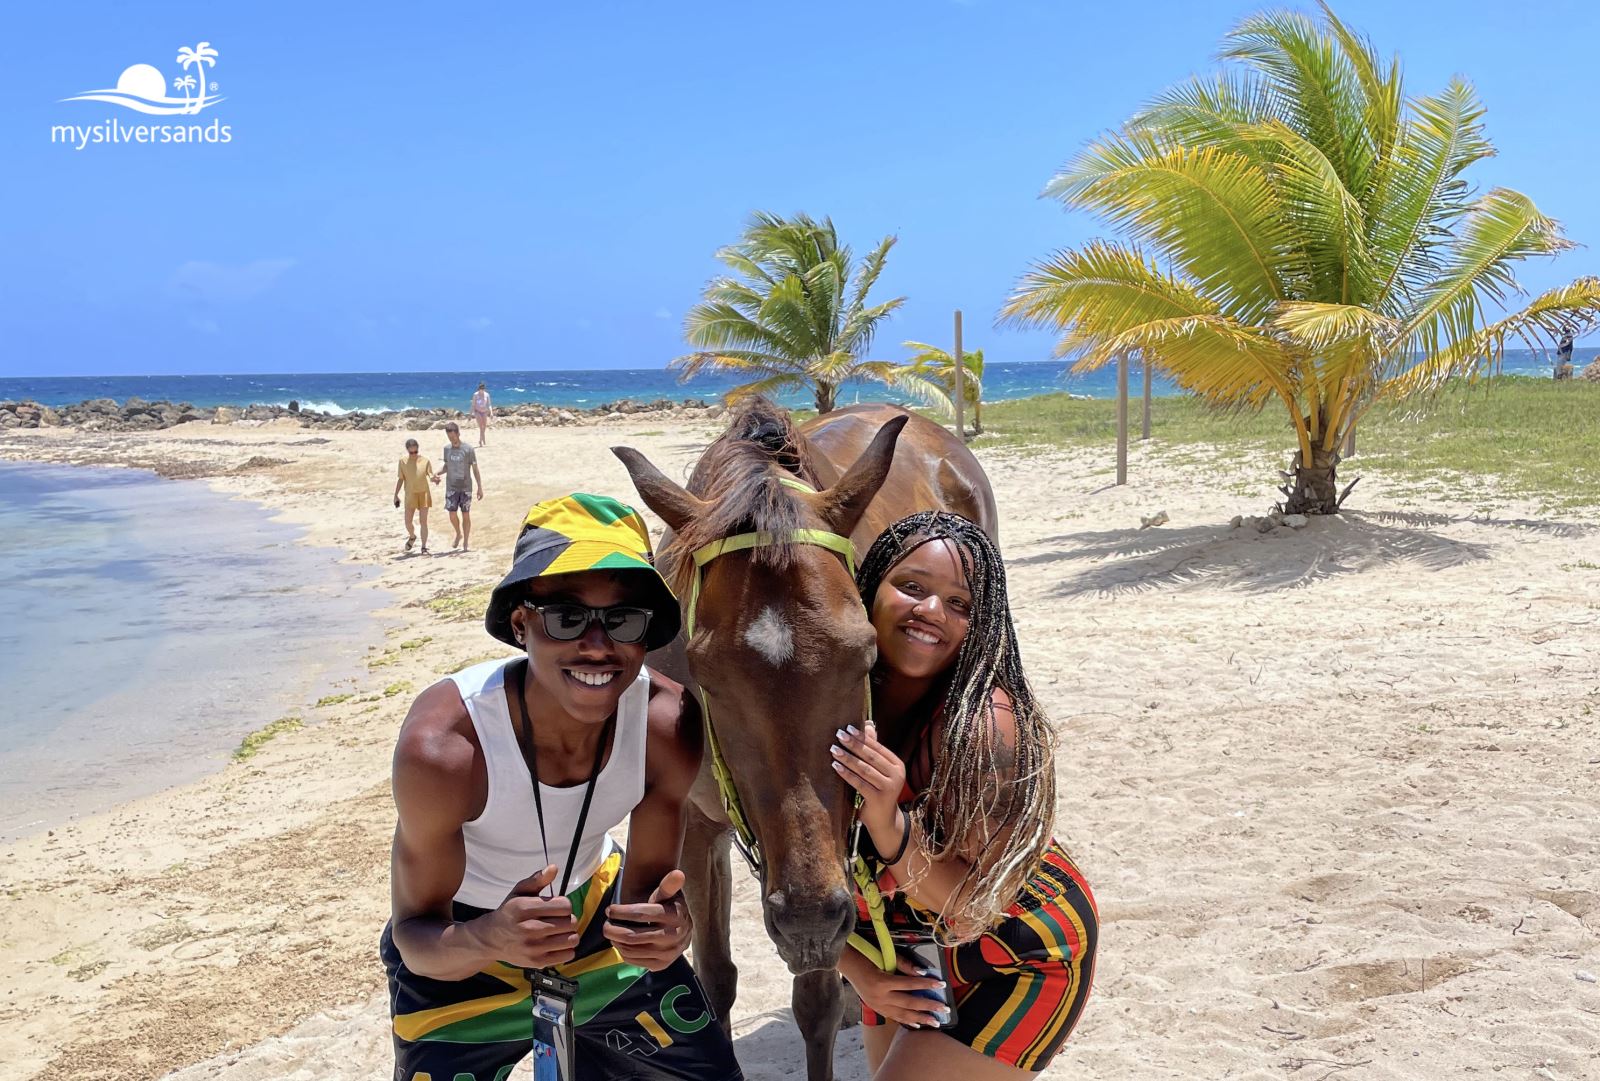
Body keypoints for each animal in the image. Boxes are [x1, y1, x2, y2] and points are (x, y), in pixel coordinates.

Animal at [617, 396, 992, 1081]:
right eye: (705, 673)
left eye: (866, 654)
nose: (808, 917)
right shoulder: (698, 826)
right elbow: (715, 978)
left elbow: (814, 999)